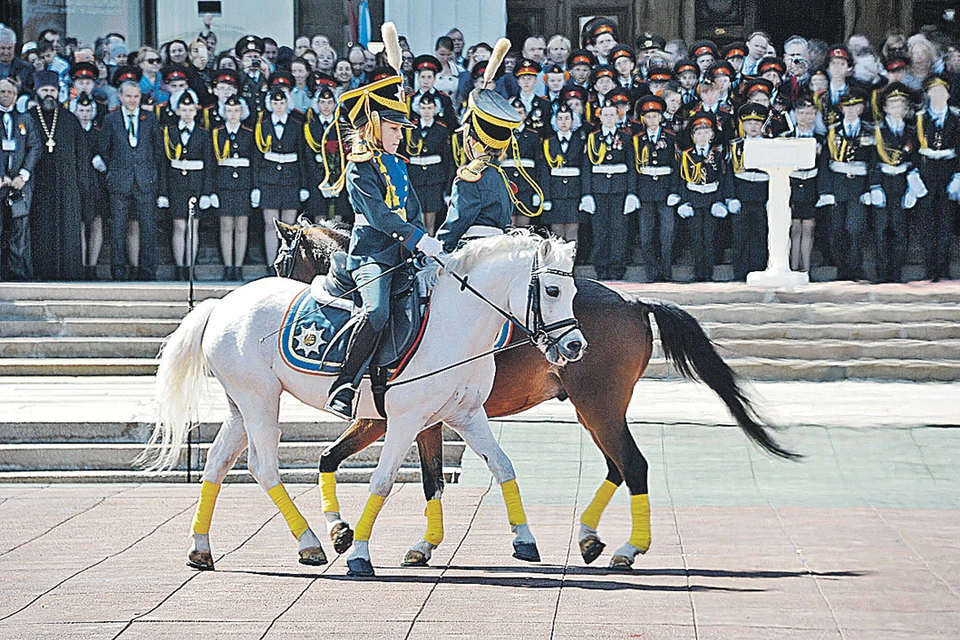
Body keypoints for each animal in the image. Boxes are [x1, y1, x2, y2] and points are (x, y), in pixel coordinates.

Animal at [142, 232, 584, 576]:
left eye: (574, 292)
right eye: (553, 290)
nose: (575, 346)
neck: (455, 324)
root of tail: (221, 304)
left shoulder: (464, 416)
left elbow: (501, 466)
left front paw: (524, 539)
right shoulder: (406, 421)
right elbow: (383, 481)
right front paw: (359, 554)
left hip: (240, 406)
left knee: (217, 464)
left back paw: (201, 547)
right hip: (259, 401)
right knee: (263, 467)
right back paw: (309, 542)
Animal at [272, 218, 804, 568]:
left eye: (282, 260)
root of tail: (634, 300)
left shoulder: (386, 418)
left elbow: (337, 459)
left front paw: (347, 533)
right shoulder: (426, 418)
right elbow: (427, 478)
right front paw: (414, 543)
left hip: (599, 405)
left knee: (633, 465)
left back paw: (628, 549)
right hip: (594, 409)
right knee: (617, 466)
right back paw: (590, 538)